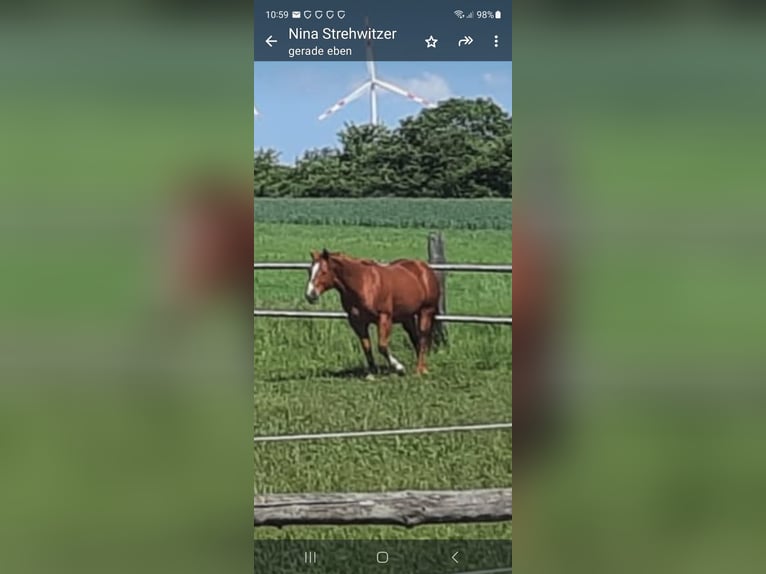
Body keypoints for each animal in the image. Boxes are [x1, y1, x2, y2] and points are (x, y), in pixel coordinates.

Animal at [304, 249, 440, 376]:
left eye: (323, 272)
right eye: (310, 271)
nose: (310, 295)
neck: (363, 284)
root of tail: (424, 267)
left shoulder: (384, 317)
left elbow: (382, 346)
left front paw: (399, 367)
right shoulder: (357, 322)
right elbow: (366, 346)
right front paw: (372, 373)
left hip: (426, 311)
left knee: (422, 338)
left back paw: (420, 370)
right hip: (407, 318)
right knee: (415, 339)